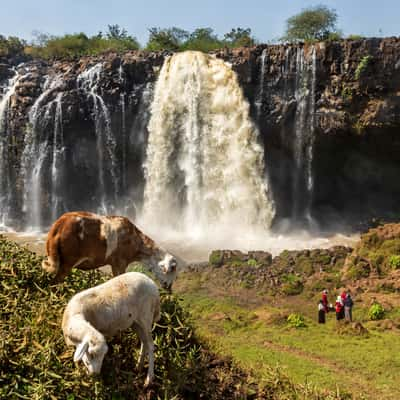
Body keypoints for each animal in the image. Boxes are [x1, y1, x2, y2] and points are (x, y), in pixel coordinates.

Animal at [41, 211, 178, 290]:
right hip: (68, 261)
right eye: (173, 271)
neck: (137, 241)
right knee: (54, 283)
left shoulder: (114, 264)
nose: (169, 288)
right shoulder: (120, 263)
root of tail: (58, 226)